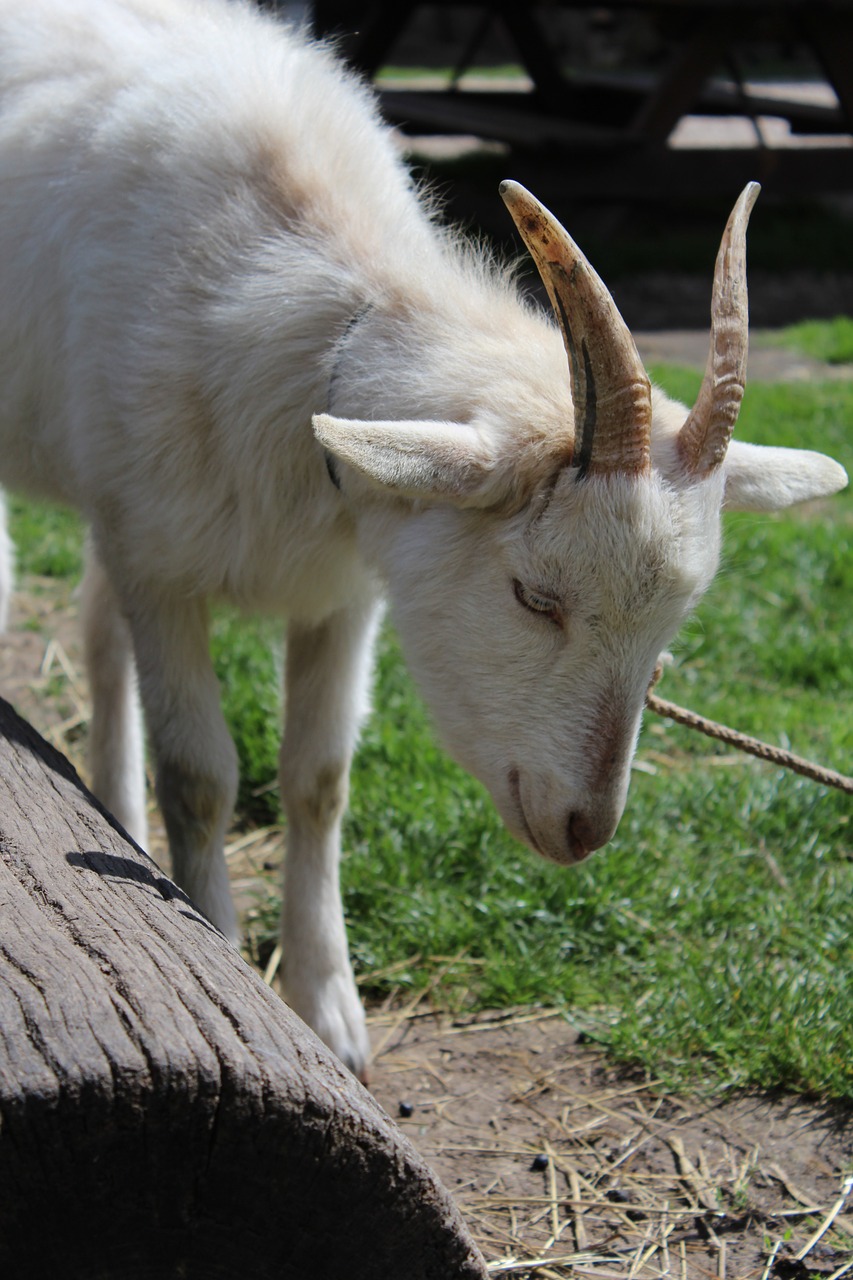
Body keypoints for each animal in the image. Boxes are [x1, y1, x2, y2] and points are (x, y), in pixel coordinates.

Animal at [0, 0, 840, 1080]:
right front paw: (221, 945)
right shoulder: (162, 563)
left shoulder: (345, 590)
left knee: (98, 627)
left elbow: (317, 778)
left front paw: (329, 1010)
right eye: (533, 595)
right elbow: (202, 777)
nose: (583, 828)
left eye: (668, 634)